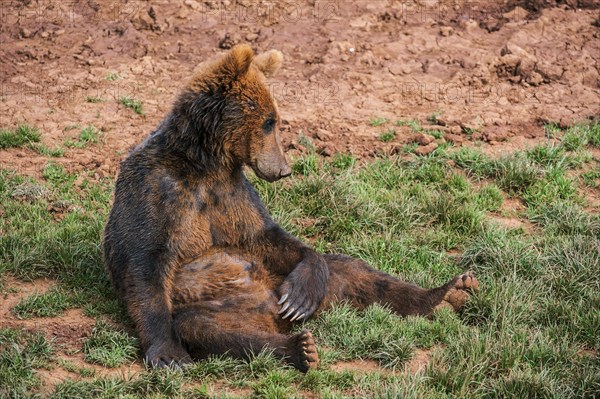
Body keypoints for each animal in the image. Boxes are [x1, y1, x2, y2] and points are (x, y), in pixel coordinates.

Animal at [103, 44, 478, 372]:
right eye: (269, 121)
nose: (284, 169)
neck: (203, 163)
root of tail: (270, 312)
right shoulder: (157, 190)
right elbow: (143, 262)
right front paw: (168, 354)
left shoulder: (232, 193)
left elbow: (267, 234)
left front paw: (300, 293)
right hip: (213, 304)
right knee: (204, 327)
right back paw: (299, 348)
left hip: (298, 281)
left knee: (354, 271)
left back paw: (450, 291)